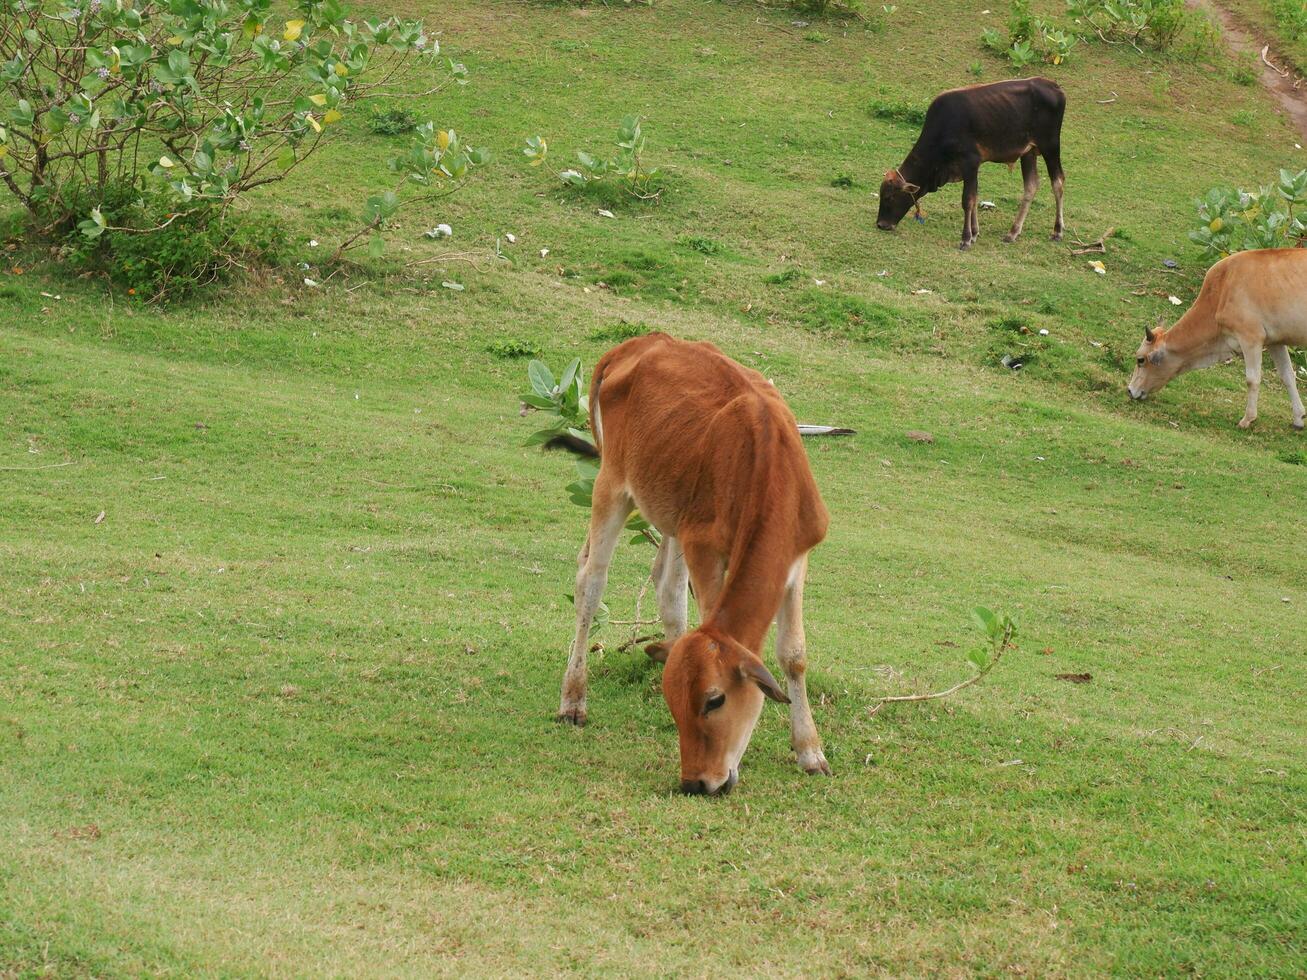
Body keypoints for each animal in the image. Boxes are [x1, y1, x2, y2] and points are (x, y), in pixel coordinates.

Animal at [551, 334, 826, 794]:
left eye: (714, 699)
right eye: (676, 700)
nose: (696, 783)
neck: (765, 465)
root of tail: (634, 344)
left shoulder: (798, 554)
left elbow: (793, 653)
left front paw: (810, 752)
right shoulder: (703, 546)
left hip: (672, 515)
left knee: (662, 584)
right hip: (612, 483)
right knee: (590, 582)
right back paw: (573, 699)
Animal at [878, 78, 1061, 250]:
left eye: (889, 197)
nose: (880, 224)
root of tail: (1053, 85)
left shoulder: (970, 163)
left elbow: (967, 201)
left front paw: (966, 239)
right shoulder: (972, 168)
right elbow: (975, 197)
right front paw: (974, 233)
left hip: (1050, 146)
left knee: (1058, 183)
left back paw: (1057, 232)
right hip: (1028, 152)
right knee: (1030, 187)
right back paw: (1013, 232)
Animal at [1124, 249, 1307, 428]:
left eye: (1140, 360)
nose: (1130, 390)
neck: (1223, 289)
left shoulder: (1250, 337)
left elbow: (1252, 379)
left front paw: (1247, 419)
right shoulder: (1275, 342)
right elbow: (1287, 376)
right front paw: (1298, 419)